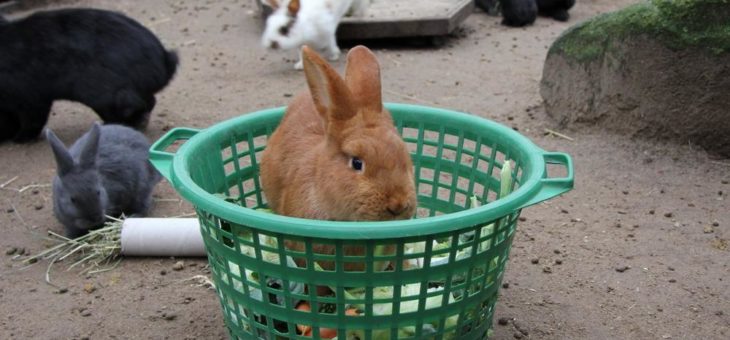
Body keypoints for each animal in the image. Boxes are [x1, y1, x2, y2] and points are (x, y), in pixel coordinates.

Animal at [1, 8, 178, 142]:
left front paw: (20, 138)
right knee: (149, 101)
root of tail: (164, 59)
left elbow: (32, 120)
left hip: (106, 97)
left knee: (134, 106)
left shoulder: (30, 98)